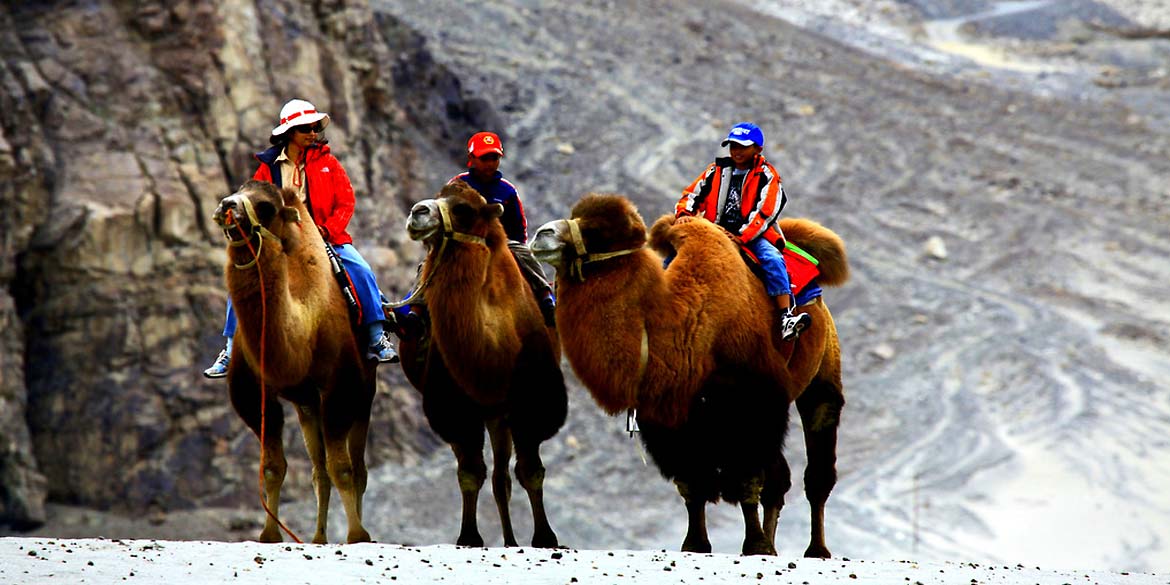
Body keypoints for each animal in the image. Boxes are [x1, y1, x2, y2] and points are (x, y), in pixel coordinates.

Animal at [210, 179, 374, 542]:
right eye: (237, 190)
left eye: (265, 206)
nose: (227, 205)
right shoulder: (253, 391)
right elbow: (274, 467)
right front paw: (270, 534)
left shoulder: (340, 386)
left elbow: (342, 468)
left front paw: (358, 535)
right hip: (306, 405)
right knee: (317, 469)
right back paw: (318, 538)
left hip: (363, 391)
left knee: (356, 467)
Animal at [400, 180, 568, 545]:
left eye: (463, 209)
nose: (417, 212)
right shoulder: (454, 406)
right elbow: (469, 473)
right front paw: (468, 537)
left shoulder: (529, 400)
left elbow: (531, 471)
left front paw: (546, 537)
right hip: (488, 414)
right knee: (492, 473)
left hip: (500, 414)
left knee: (504, 474)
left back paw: (513, 539)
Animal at [533, 193, 851, 556]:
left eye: (599, 231)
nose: (541, 234)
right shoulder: (669, 418)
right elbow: (691, 484)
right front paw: (696, 544)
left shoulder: (753, 402)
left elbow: (746, 477)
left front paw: (754, 545)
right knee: (779, 479)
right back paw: (775, 545)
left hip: (821, 381)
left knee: (816, 469)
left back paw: (816, 549)